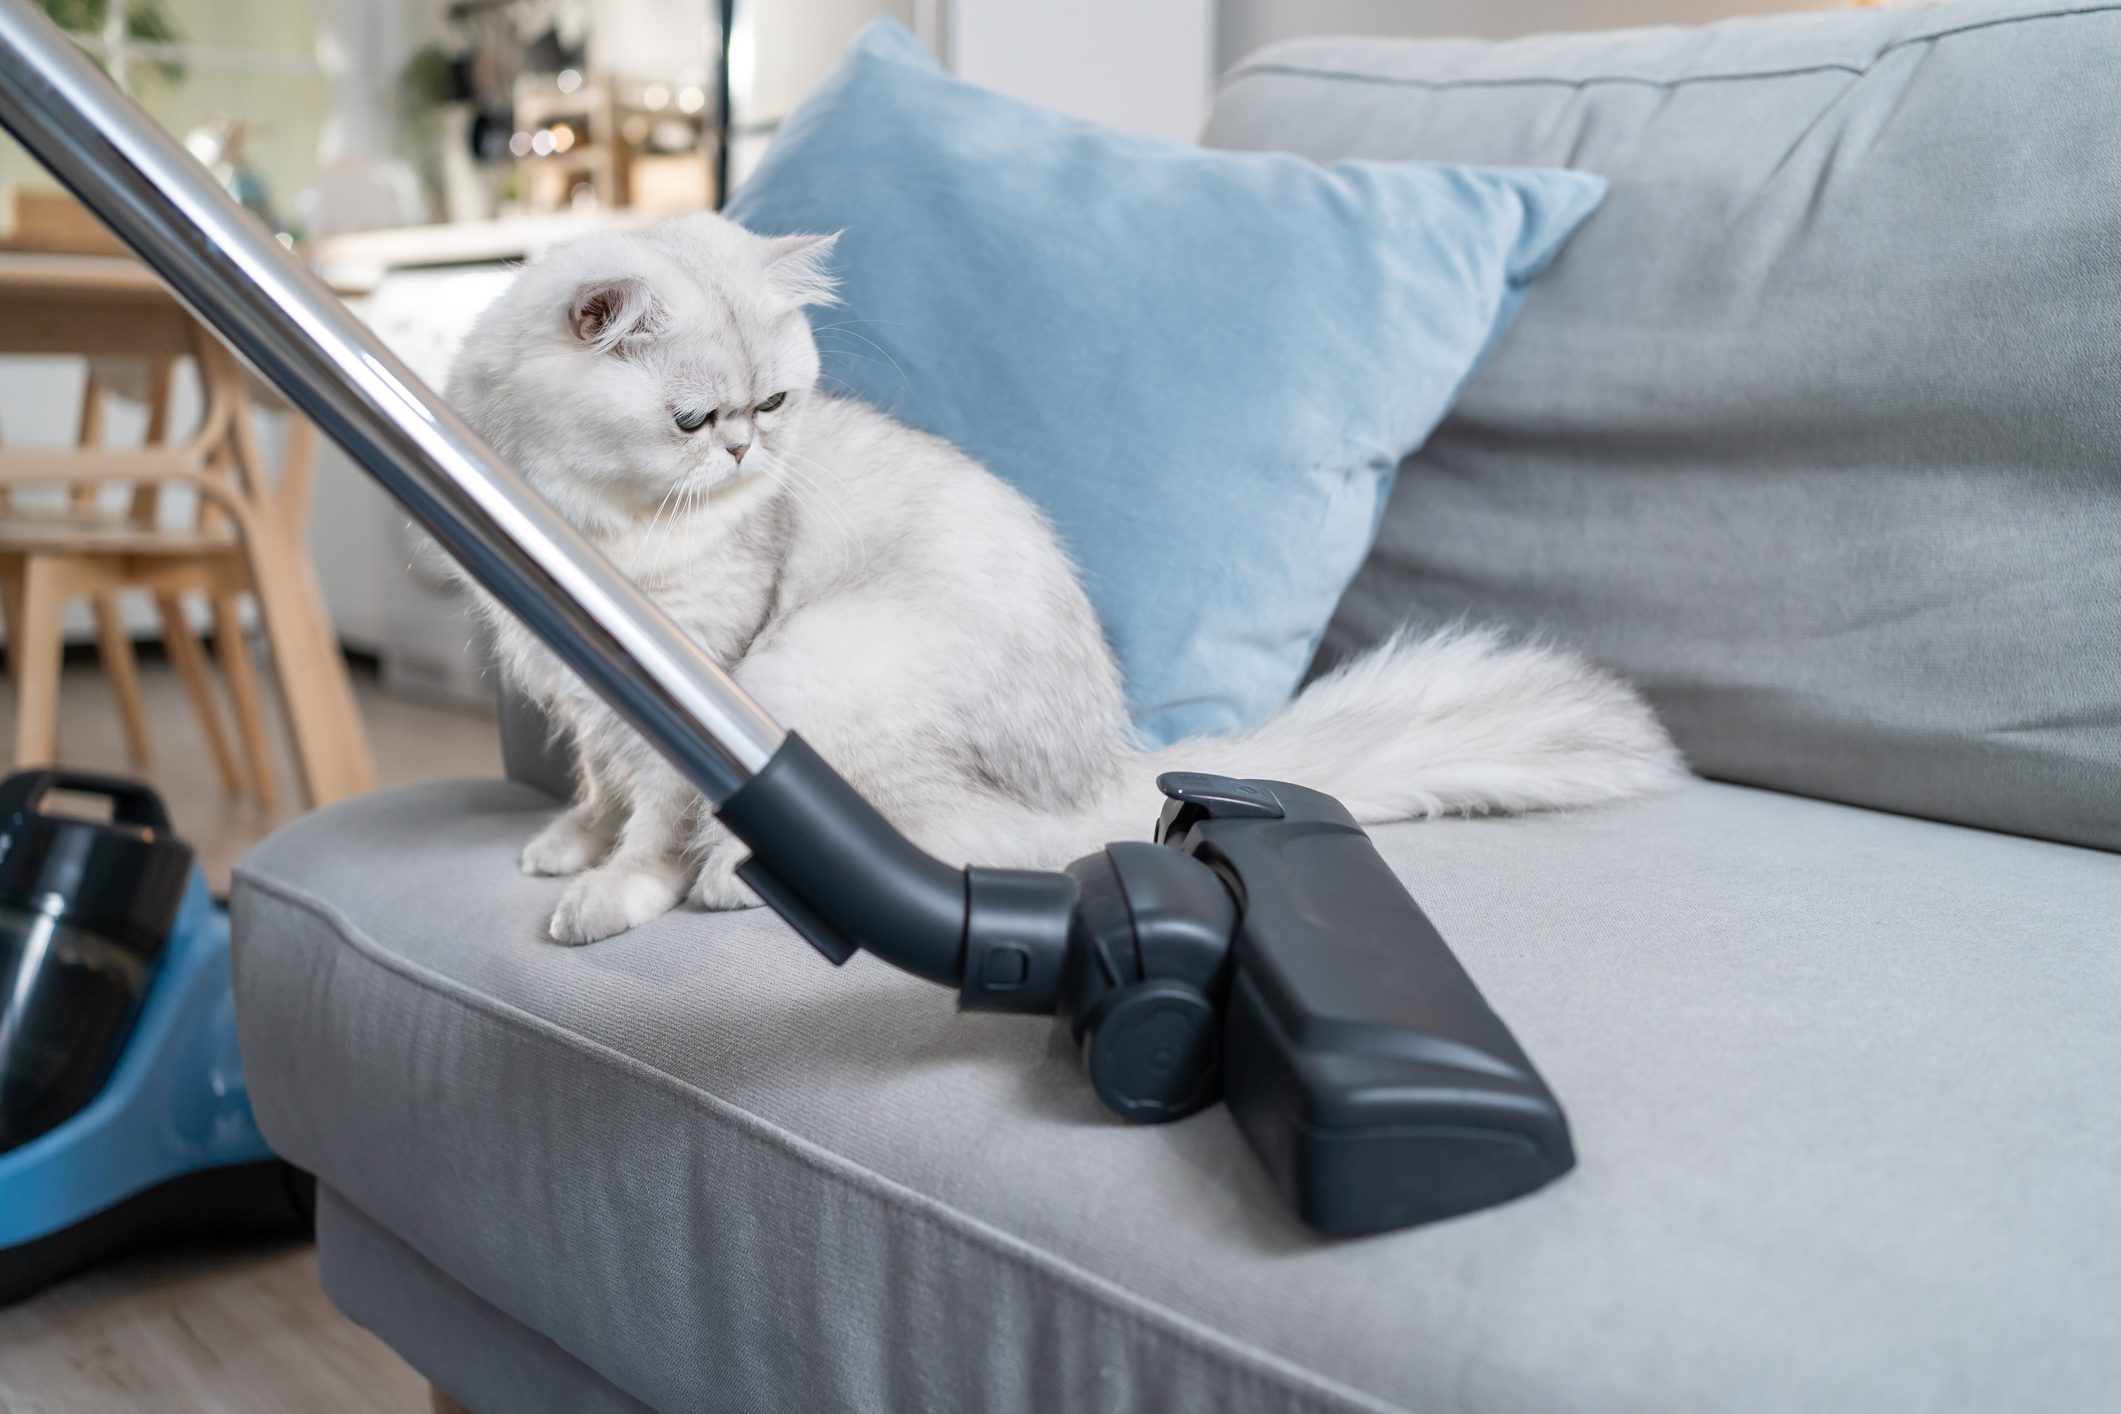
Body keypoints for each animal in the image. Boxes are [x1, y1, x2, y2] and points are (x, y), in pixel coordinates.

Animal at [451, 213, 1688, 941]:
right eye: (694, 420)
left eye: (771, 404)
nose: (747, 455)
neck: (597, 529)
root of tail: (1111, 761)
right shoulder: (578, 691)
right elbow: (597, 792)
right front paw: (567, 847)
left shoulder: (686, 675)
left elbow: (652, 821)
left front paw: (612, 890)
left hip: (812, 673)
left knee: (962, 851)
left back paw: (728, 880)